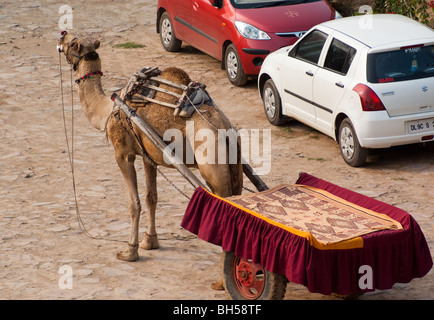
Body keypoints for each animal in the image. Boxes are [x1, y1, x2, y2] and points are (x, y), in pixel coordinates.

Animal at [56, 31, 244, 264]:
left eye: (73, 42)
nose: (62, 35)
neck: (108, 109)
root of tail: (226, 132)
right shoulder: (148, 156)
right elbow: (151, 198)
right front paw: (150, 241)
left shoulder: (122, 153)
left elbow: (134, 203)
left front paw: (130, 251)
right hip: (235, 165)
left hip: (212, 164)